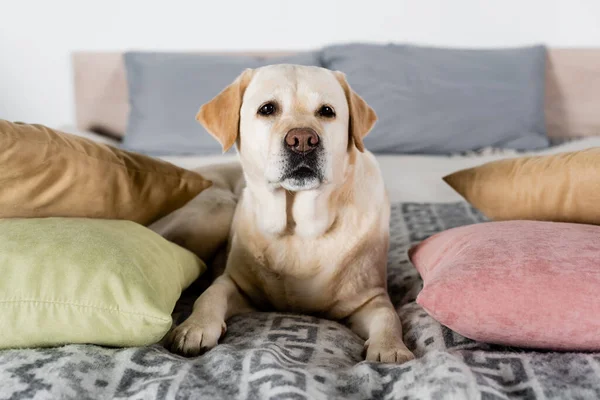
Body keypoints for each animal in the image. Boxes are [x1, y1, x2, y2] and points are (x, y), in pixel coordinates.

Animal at [155, 64, 414, 364]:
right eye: (267, 109)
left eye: (327, 111)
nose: (302, 140)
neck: (296, 228)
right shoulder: (236, 283)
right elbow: (210, 295)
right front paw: (194, 328)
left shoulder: (370, 297)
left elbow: (388, 316)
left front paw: (390, 348)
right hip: (215, 211)